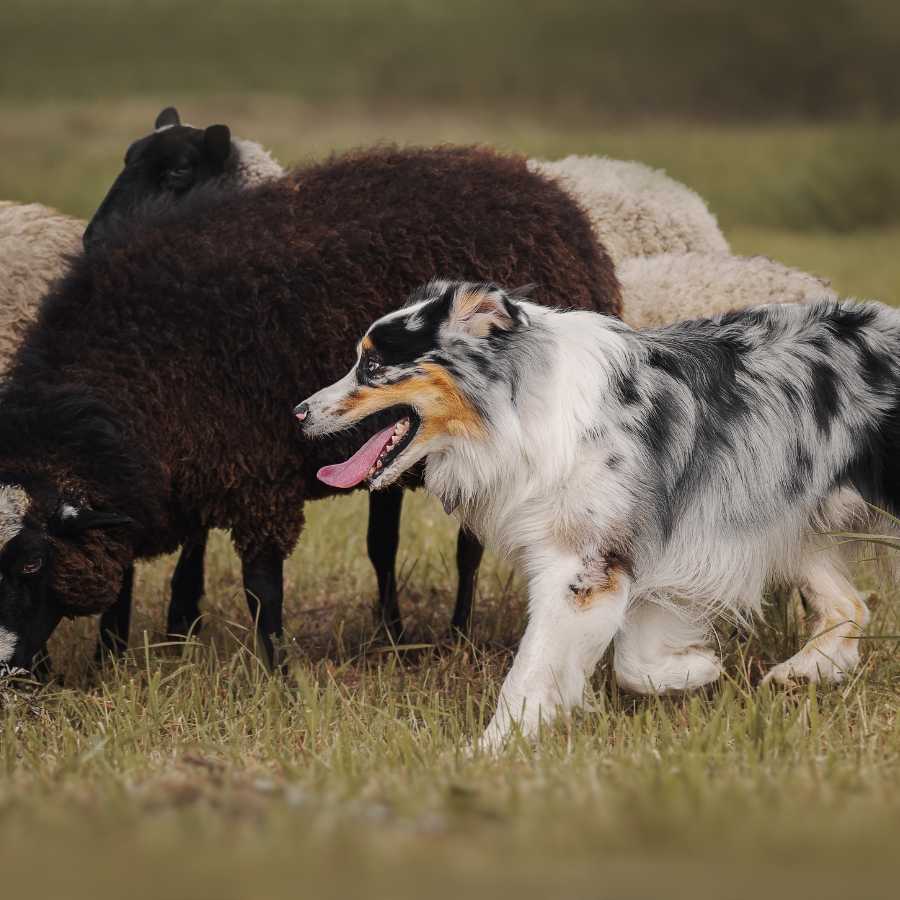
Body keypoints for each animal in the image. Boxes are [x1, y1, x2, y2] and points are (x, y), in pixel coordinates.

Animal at [0, 146, 620, 676]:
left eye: (30, 563)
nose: (9, 670)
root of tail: (538, 185)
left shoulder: (256, 477)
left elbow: (262, 587)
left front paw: (278, 676)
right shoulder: (160, 476)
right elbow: (126, 574)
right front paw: (110, 659)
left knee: (469, 548)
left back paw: (458, 635)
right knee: (385, 544)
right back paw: (391, 636)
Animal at [296, 284, 892, 748]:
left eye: (373, 365)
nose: (298, 412)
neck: (520, 410)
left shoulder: (581, 567)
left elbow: (530, 670)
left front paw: (487, 751)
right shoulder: (652, 557)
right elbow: (634, 665)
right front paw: (696, 669)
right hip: (795, 524)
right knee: (851, 605)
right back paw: (804, 670)